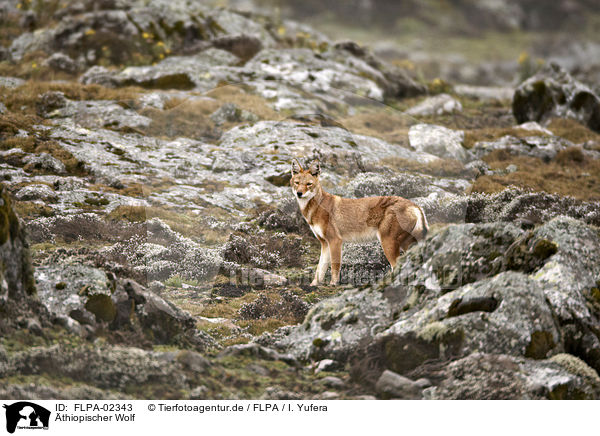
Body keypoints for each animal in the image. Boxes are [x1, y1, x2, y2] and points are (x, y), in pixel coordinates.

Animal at [290, 160, 426, 286]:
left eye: (309, 184)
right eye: (297, 183)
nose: (299, 193)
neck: (316, 209)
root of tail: (415, 206)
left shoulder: (335, 241)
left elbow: (334, 267)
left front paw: (333, 284)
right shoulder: (324, 243)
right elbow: (320, 269)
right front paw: (314, 285)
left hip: (388, 244)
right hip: (405, 245)